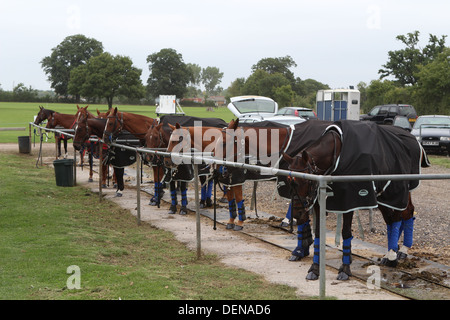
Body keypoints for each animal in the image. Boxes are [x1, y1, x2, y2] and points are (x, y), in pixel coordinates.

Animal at [284, 121, 428, 282]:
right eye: (289, 181)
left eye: (305, 180)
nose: (297, 212)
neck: (337, 154)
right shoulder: (318, 203)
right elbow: (319, 234)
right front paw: (315, 268)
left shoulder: (350, 202)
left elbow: (346, 232)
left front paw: (345, 269)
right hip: (382, 195)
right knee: (391, 219)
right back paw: (392, 253)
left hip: (397, 190)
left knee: (404, 214)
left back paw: (397, 253)